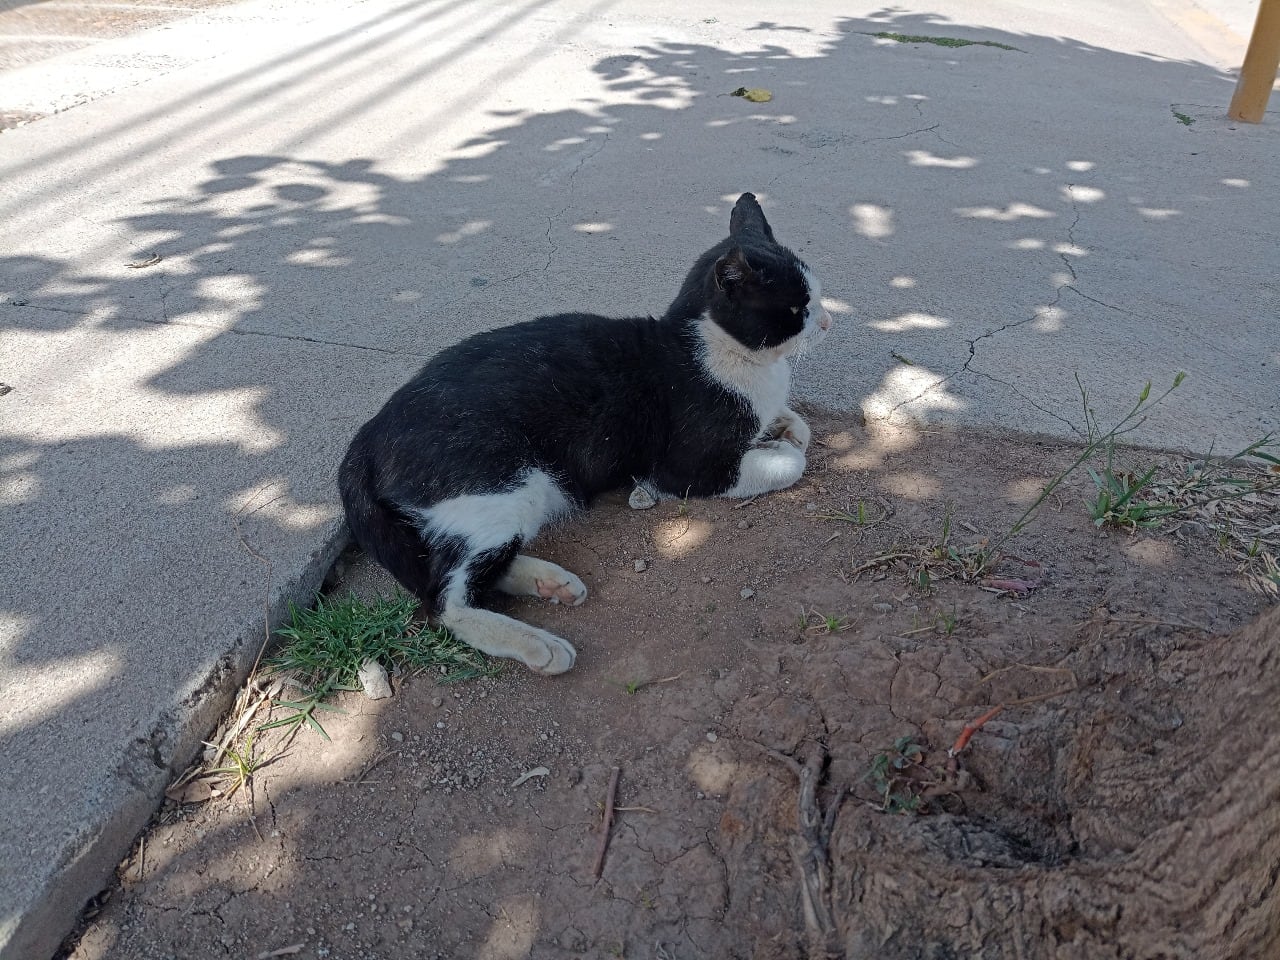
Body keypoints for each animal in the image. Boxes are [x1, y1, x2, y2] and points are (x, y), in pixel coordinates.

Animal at [340, 193, 834, 675]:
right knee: (443, 599)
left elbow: (797, 426)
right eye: (796, 309)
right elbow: (791, 462)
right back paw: (538, 645)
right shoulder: (688, 469)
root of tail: (368, 434)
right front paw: (782, 445)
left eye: (816, 296)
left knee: (477, 571)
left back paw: (551, 583)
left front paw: (786, 427)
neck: (718, 352)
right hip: (504, 483)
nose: (828, 322)